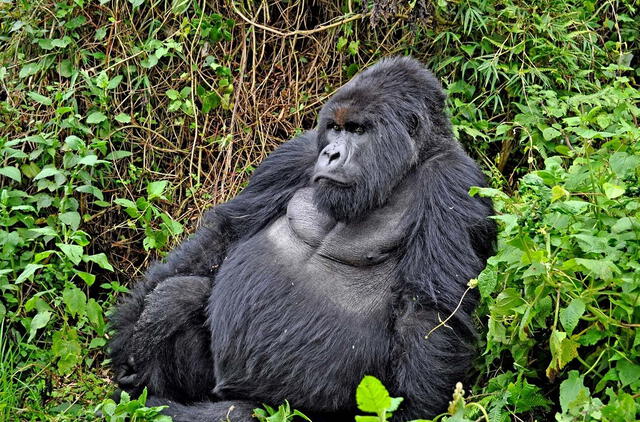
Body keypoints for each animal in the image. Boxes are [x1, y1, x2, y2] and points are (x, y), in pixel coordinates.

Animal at [110, 56, 498, 422]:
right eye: (336, 128)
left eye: (358, 130)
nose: (331, 154)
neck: (408, 165)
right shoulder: (297, 153)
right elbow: (225, 234)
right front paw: (128, 335)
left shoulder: (454, 182)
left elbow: (428, 311)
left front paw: (414, 410)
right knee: (180, 294)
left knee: (244, 412)